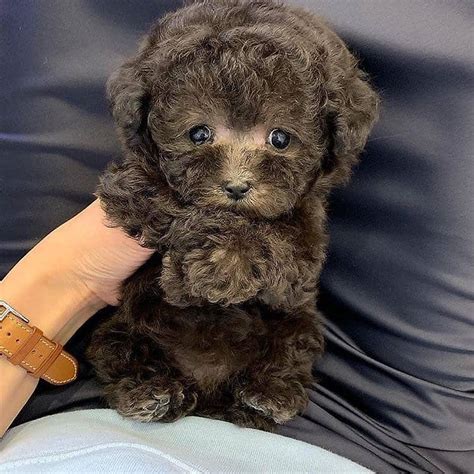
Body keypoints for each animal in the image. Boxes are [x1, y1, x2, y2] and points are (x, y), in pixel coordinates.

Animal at [87, 0, 380, 430]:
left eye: (280, 138)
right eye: (198, 133)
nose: (237, 187)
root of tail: (209, 394)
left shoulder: (305, 246)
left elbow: (282, 245)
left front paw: (225, 262)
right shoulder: (133, 187)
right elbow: (160, 198)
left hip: (296, 324)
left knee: (291, 349)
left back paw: (267, 395)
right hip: (126, 326)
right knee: (120, 351)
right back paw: (151, 392)